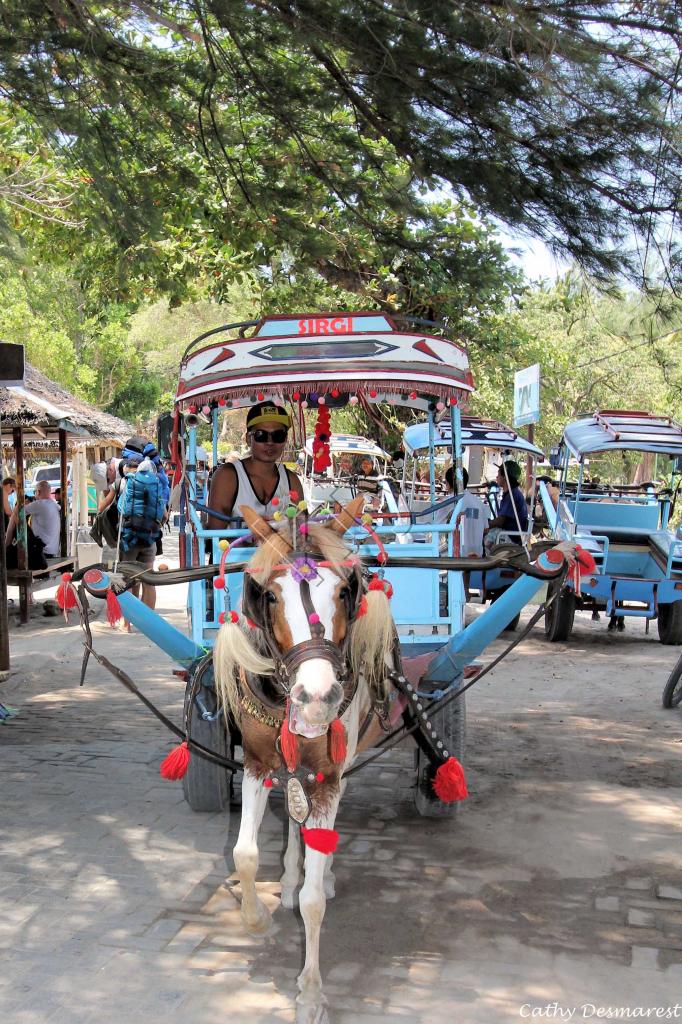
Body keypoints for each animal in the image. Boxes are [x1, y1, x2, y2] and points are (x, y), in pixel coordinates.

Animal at [210, 497, 393, 1024]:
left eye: (345, 591)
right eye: (270, 597)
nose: (316, 698)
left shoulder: (329, 774)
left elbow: (313, 902)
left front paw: (310, 993)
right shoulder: (255, 763)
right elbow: (245, 855)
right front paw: (256, 918)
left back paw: (321, 870)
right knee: (295, 820)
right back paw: (290, 876)